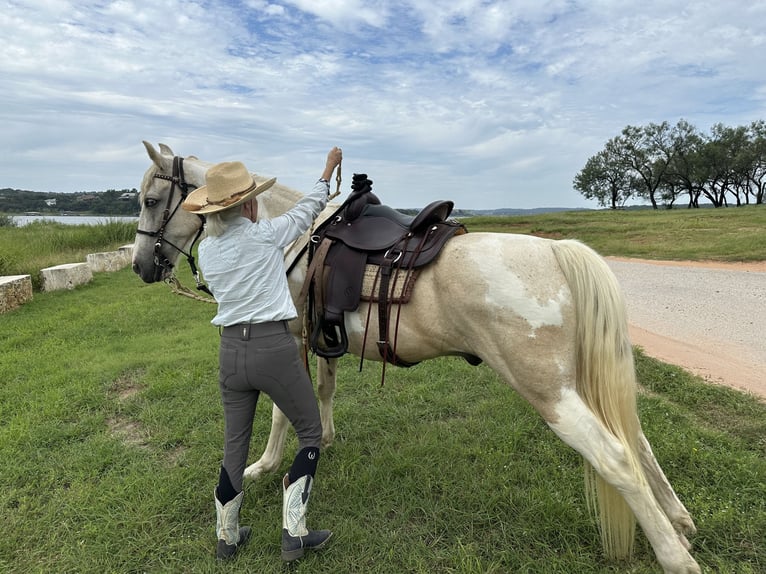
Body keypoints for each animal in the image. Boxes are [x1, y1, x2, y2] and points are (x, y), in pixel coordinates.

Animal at [132, 141, 701, 574]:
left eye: (153, 199)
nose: (140, 266)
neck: (290, 237)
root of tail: (556, 253)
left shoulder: (290, 337)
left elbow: (280, 412)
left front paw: (264, 465)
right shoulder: (324, 339)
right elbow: (324, 392)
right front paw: (326, 438)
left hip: (551, 394)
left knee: (618, 458)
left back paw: (675, 557)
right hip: (577, 381)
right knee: (637, 439)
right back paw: (679, 521)